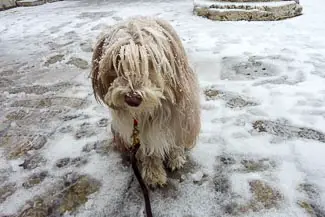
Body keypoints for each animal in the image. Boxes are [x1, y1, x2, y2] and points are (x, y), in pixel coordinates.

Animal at [90, 16, 199, 186]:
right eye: (117, 60)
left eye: (150, 60)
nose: (132, 99)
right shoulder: (140, 132)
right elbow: (149, 152)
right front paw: (153, 174)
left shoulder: (181, 119)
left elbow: (176, 141)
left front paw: (176, 158)